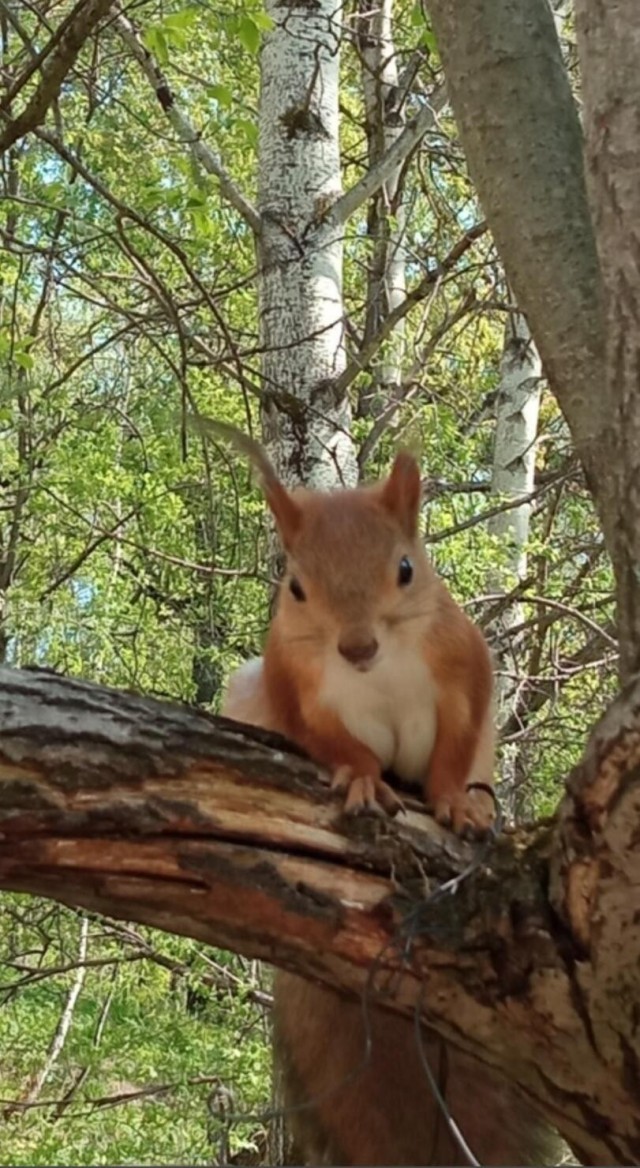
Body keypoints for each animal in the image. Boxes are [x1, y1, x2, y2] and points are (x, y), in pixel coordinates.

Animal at [210, 419, 561, 1166]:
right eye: (295, 587)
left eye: (406, 568)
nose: (357, 646)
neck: (381, 671)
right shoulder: (298, 690)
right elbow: (337, 745)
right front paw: (364, 779)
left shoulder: (464, 667)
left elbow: (456, 747)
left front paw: (456, 802)